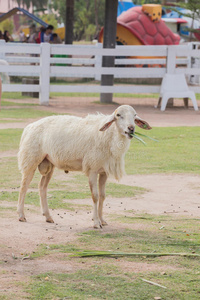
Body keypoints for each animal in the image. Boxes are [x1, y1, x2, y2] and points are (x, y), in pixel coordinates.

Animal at [17, 105, 152, 227]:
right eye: (118, 115)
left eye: (135, 115)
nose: (131, 129)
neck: (110, 136)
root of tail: (29, 127)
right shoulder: (92, 169)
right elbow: (95, 196)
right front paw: (96, 222)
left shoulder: (103, 172)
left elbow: (103, 196)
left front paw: (102, 220)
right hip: (30, 159)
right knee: (24, 186)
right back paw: (21, 215)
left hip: (49, 162)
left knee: (42, 187)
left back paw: (48, 216)